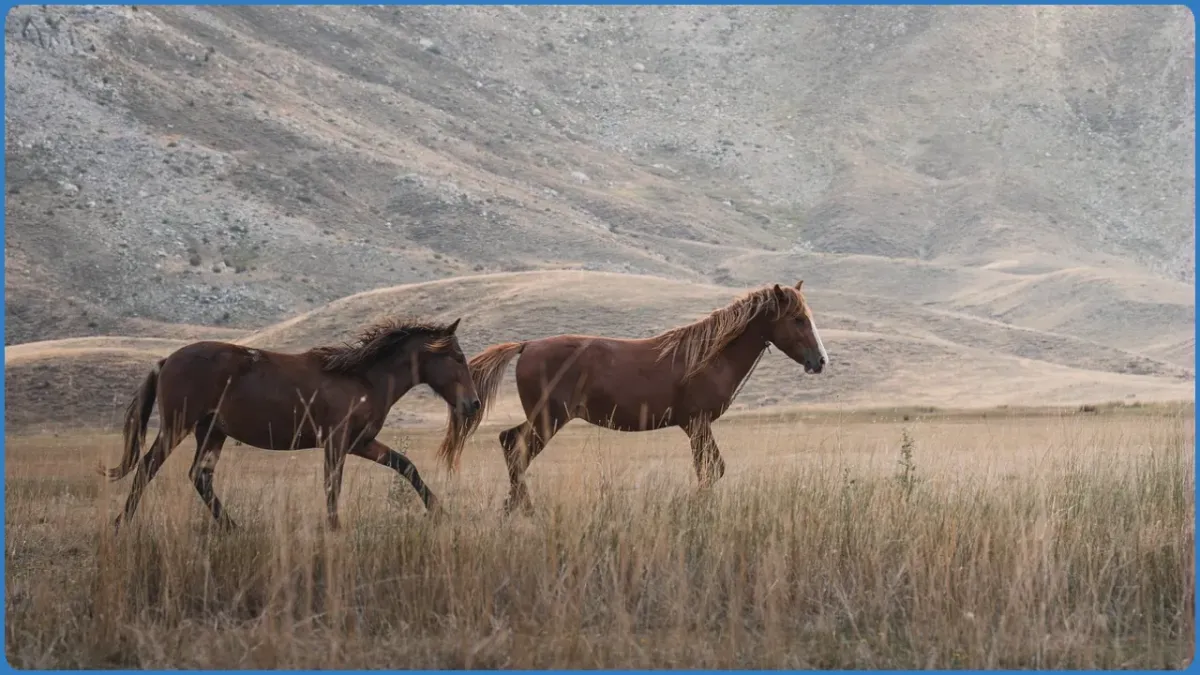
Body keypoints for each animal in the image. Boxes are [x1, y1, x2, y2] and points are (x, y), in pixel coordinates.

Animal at [102, 316, 482, 532]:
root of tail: (167, 360)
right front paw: (334, 527)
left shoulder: (360, 442)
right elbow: (332, 485)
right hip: (178, 426)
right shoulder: (336, 442)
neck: (363, 379)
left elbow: (406, 466)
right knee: (148, 467)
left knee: (200, 476)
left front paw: (440, 512)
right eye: (457, 357)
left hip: (212, 431)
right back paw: (122, 523)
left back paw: (232, 528)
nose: (474, 404)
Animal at [436, 281, 829, 514]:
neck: (708, 356)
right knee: (515, 449)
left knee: (509, 444)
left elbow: (711, 470)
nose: (820, 361)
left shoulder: (696, 427)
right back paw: (523, 509)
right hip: (549, 419)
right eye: (797, 319)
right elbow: (710, 470)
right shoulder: (697, 424)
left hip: (545, 418)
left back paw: (516, 506)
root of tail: (527, 345)